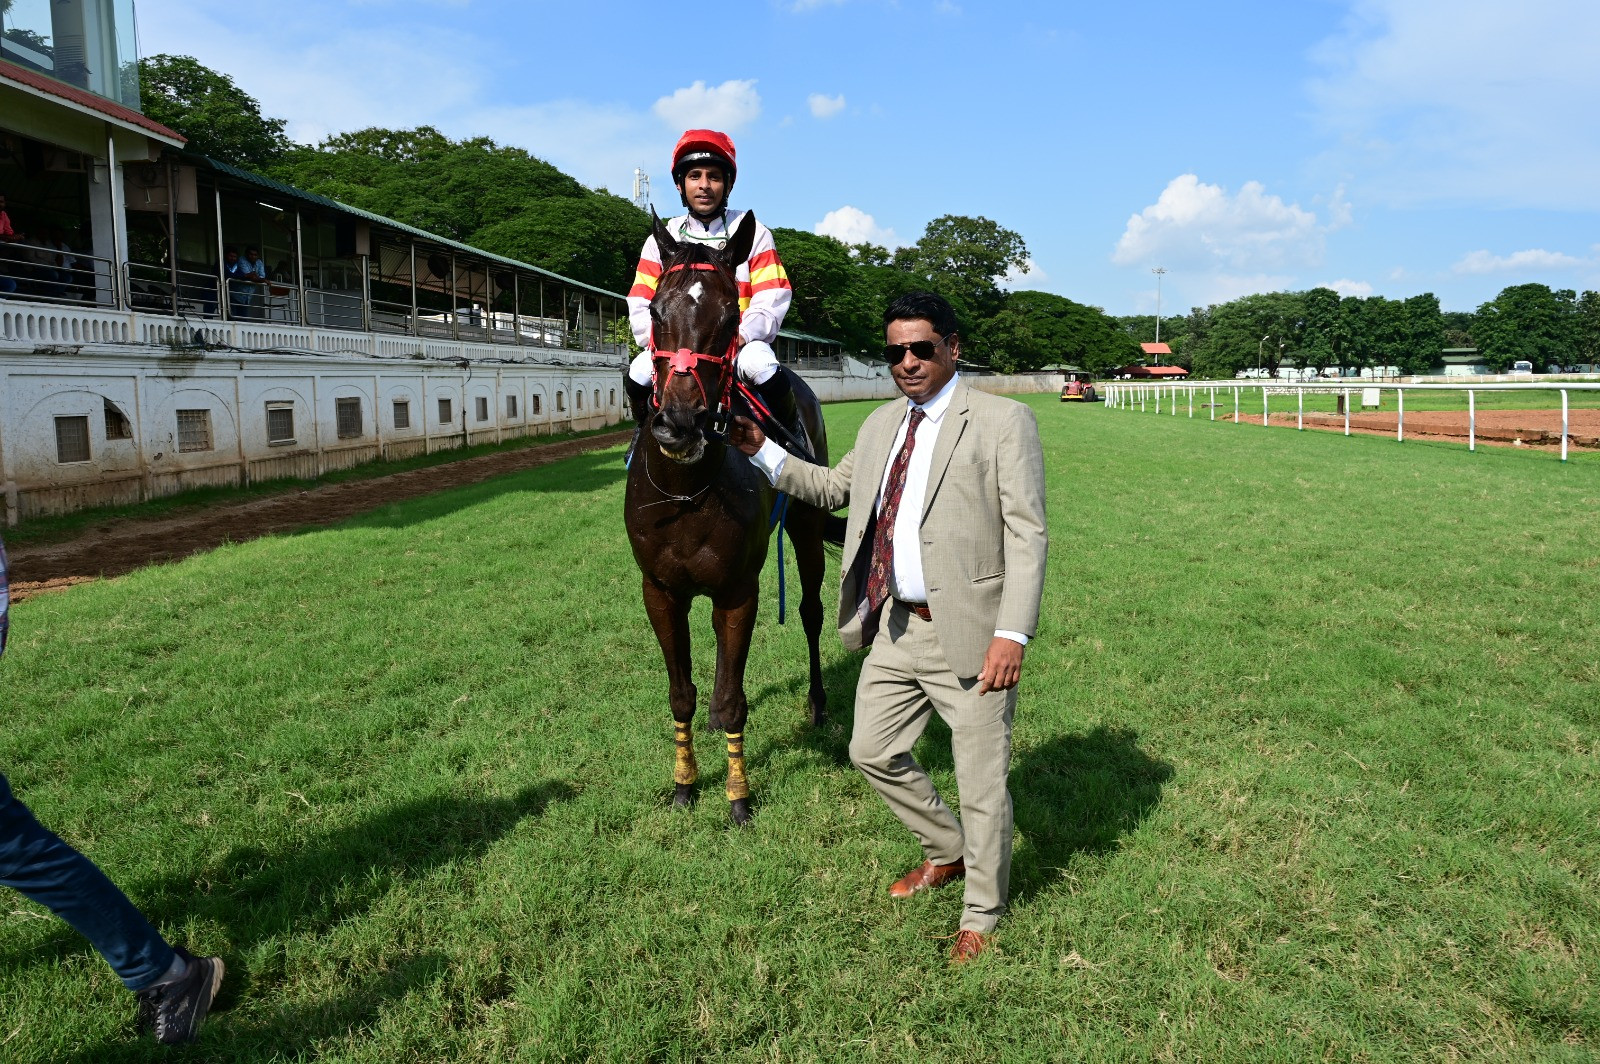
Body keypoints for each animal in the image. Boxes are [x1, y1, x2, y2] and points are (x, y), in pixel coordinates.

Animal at [623, 210, 833, 826]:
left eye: (730, 317)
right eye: (655, 312)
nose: (679, 423)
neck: (687, 490)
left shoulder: (740, 586)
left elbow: (738, 700)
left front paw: (738, 795)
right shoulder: (660, 589)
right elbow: (682, 693)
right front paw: (685, 784)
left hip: (806, 530)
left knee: (812, 613)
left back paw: (817, 703)